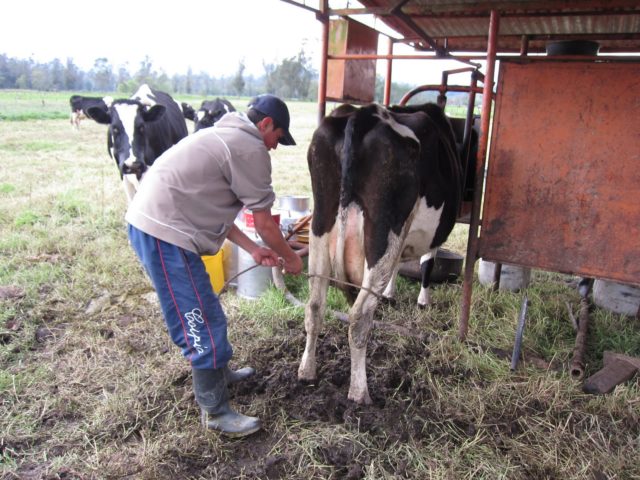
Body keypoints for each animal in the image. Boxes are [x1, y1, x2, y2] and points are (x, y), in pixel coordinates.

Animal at [298, 102, 460, 404]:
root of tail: (362, 113)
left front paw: (390, 294)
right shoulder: (430, 236)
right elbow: (427, 264)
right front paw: (422, 300)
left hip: (320, 221)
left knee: (314, 305)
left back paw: (306, 371)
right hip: (385, 229)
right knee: (359, 316)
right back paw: (359, 392)